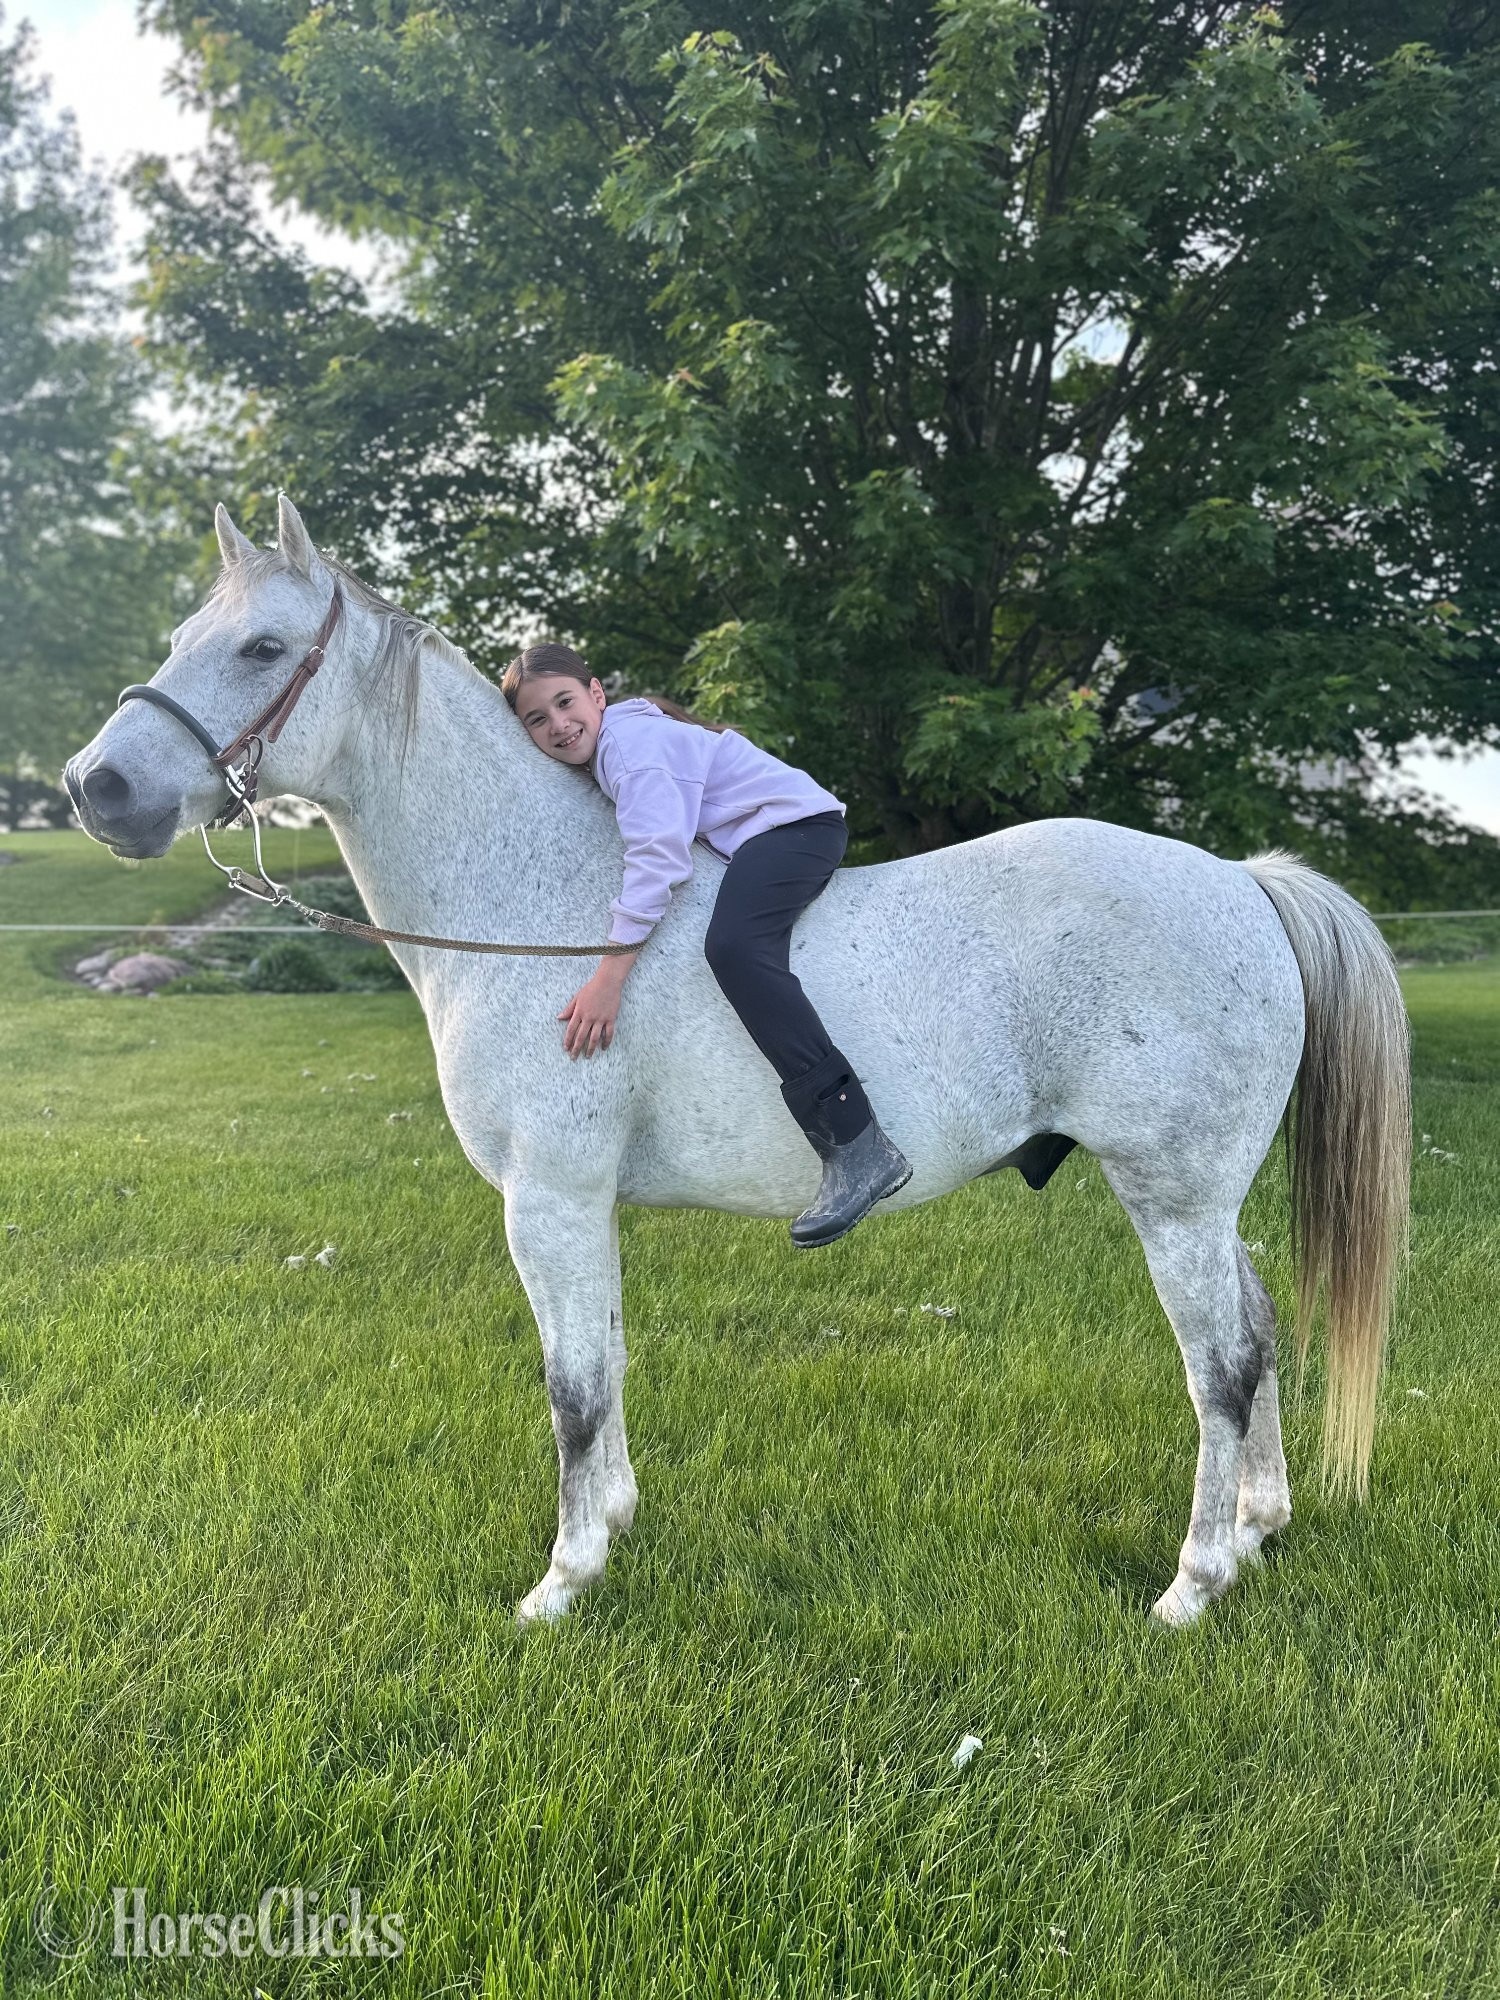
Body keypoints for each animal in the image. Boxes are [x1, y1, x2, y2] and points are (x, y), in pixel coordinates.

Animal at [64, 495, 1411, 1629]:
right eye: (186, 631)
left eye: (260, 646)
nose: (96, 786)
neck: (549, 907)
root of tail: (1240, 878)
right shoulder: (580, 1207)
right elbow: (605, 1361)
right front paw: (611, 1524)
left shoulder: (547, 1200)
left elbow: (571, 1385)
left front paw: (561, 1583)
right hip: (1201, 1200)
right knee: (1260, 1334)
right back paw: (1258, 1524)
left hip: (1170, 1198)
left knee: (1222, 1367)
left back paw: (1194, 1582)